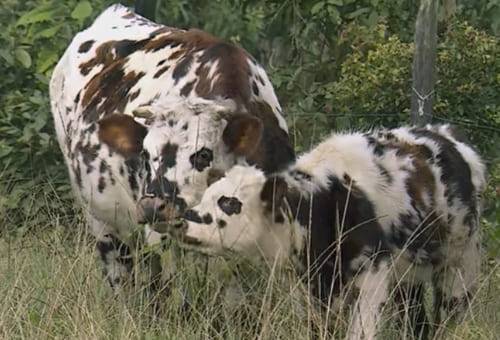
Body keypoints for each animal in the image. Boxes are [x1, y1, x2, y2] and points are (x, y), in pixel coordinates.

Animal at [174, 123, 486, 338]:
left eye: (229, 203)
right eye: (205, 196)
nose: (183, 221)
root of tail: (446, 135)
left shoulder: (372, 274)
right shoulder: (310, 284)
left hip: (459, 265)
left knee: (448, 315)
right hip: (408, 278)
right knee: (416, 320)